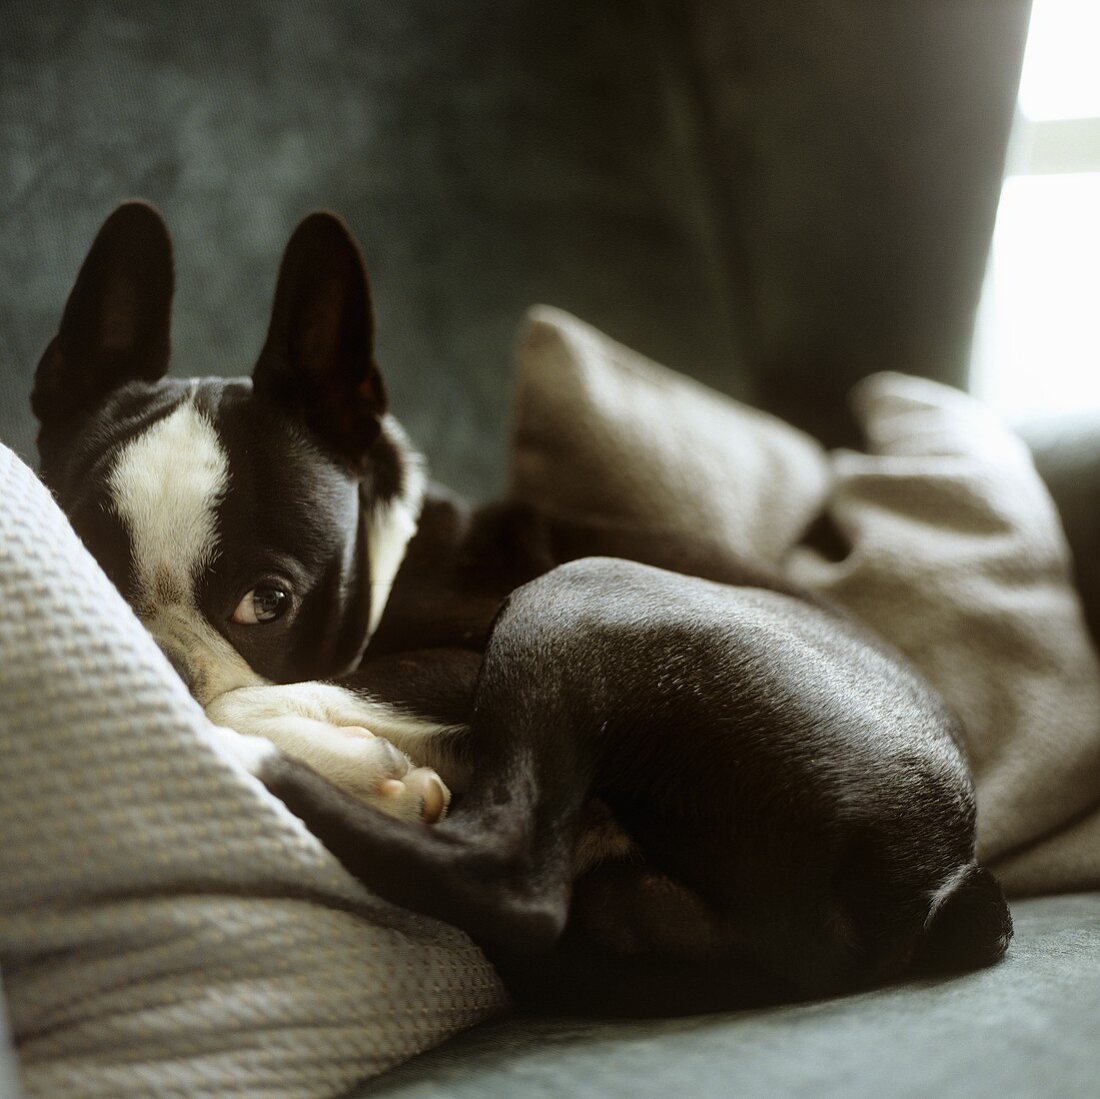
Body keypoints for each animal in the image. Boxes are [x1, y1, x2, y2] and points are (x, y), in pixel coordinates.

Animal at [32, 204, 1012, 1012]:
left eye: (265, 603)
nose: (152, 650)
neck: (394, 552)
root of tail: (939, 886)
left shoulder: (465, 657)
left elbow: (272, 692)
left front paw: (338, 755)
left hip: (582, 594)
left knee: (513, 876)